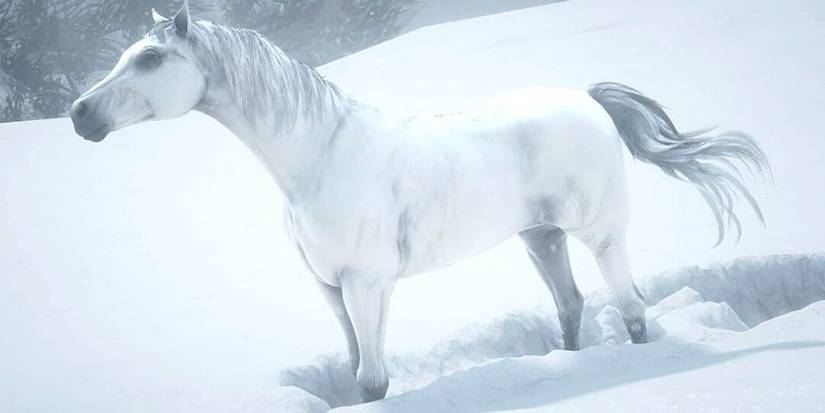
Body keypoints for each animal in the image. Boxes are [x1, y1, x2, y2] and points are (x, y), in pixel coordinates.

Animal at [69, 1, 769, 403]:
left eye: (150, 57)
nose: (80, 114)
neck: (319, 158)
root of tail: (588, 99)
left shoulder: (368, 285)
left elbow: (373, 379)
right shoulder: (332, 290)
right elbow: (356, 369)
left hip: (600, 235)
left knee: (631, 309)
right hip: (540, 237)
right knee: (571, 307)